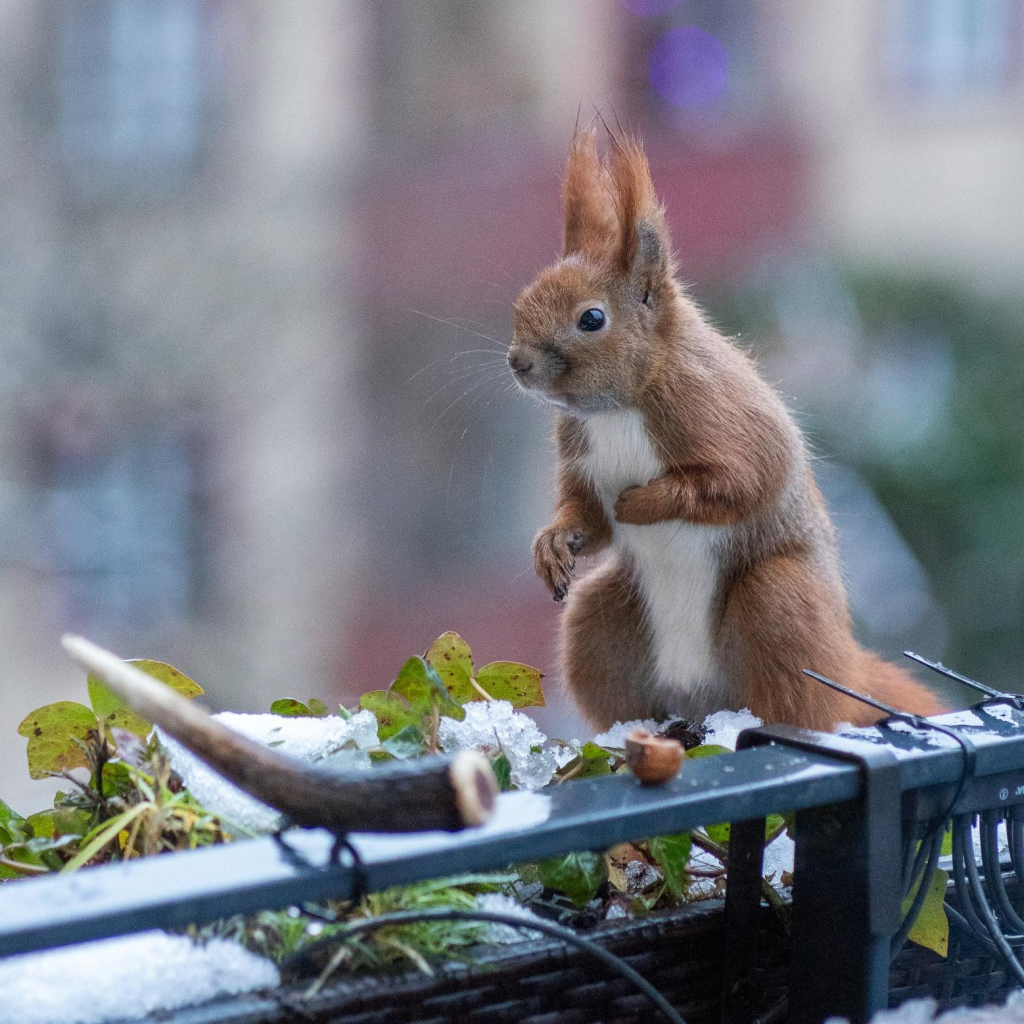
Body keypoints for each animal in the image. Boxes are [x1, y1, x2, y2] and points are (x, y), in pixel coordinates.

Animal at [507, 128, 946, 733]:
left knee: (801, 699)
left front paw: (642, 503)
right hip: (600, 622)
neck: (617, 410)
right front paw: (554, 542)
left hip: (778, 606)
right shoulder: (581, 449)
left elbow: (742, 481)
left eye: (592, 319)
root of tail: (700, 695)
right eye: (522, 300)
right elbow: (589, 516)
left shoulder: (720, 413)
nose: (518, 363)